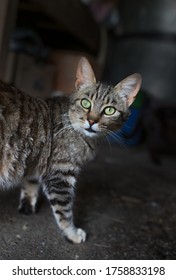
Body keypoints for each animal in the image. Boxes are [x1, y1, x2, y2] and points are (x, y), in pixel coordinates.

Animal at [0, 57, 142, 243]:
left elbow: (30, 183)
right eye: (85, 103)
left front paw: (28, 205)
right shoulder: (61, 173)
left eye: (109, 110)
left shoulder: (36, 162)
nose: (92, 121)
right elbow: (64, 211)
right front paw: (72, 233)